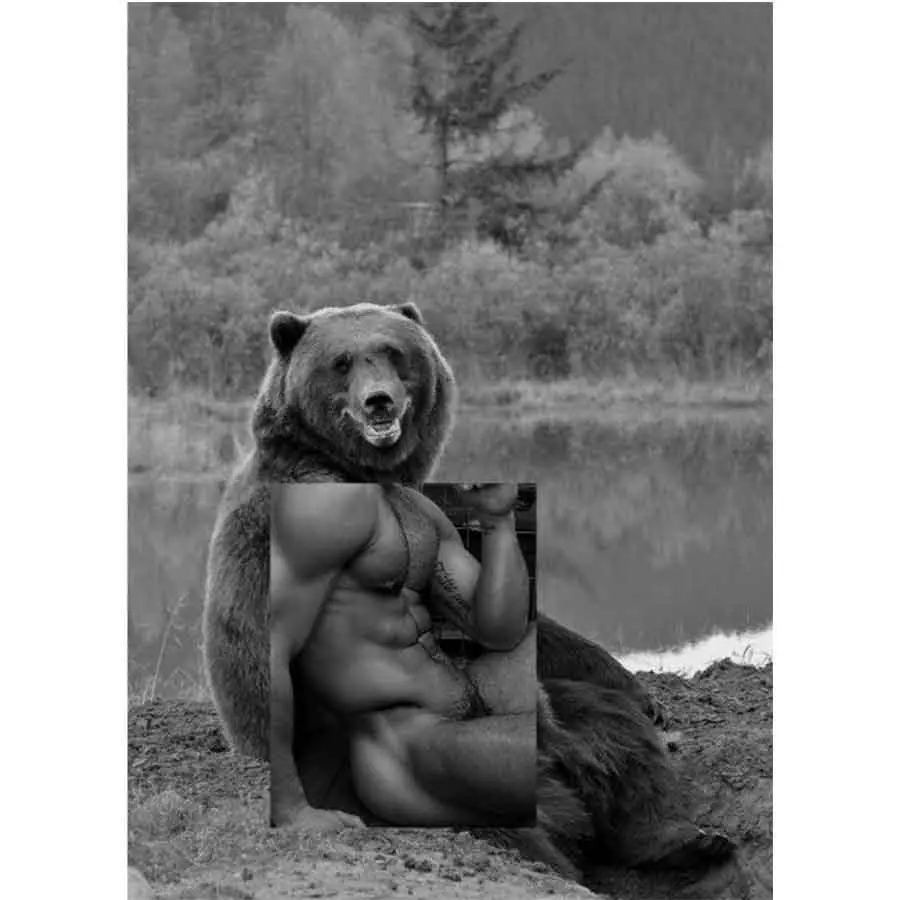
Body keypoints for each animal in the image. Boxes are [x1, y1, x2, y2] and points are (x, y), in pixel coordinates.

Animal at [202, 300, 734, 882]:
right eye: (341, 361)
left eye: (393, 350)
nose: (378, 400)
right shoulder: (305, 507)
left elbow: (515, 621)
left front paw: (647, 698)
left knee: (614, 734)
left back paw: (684, 838)